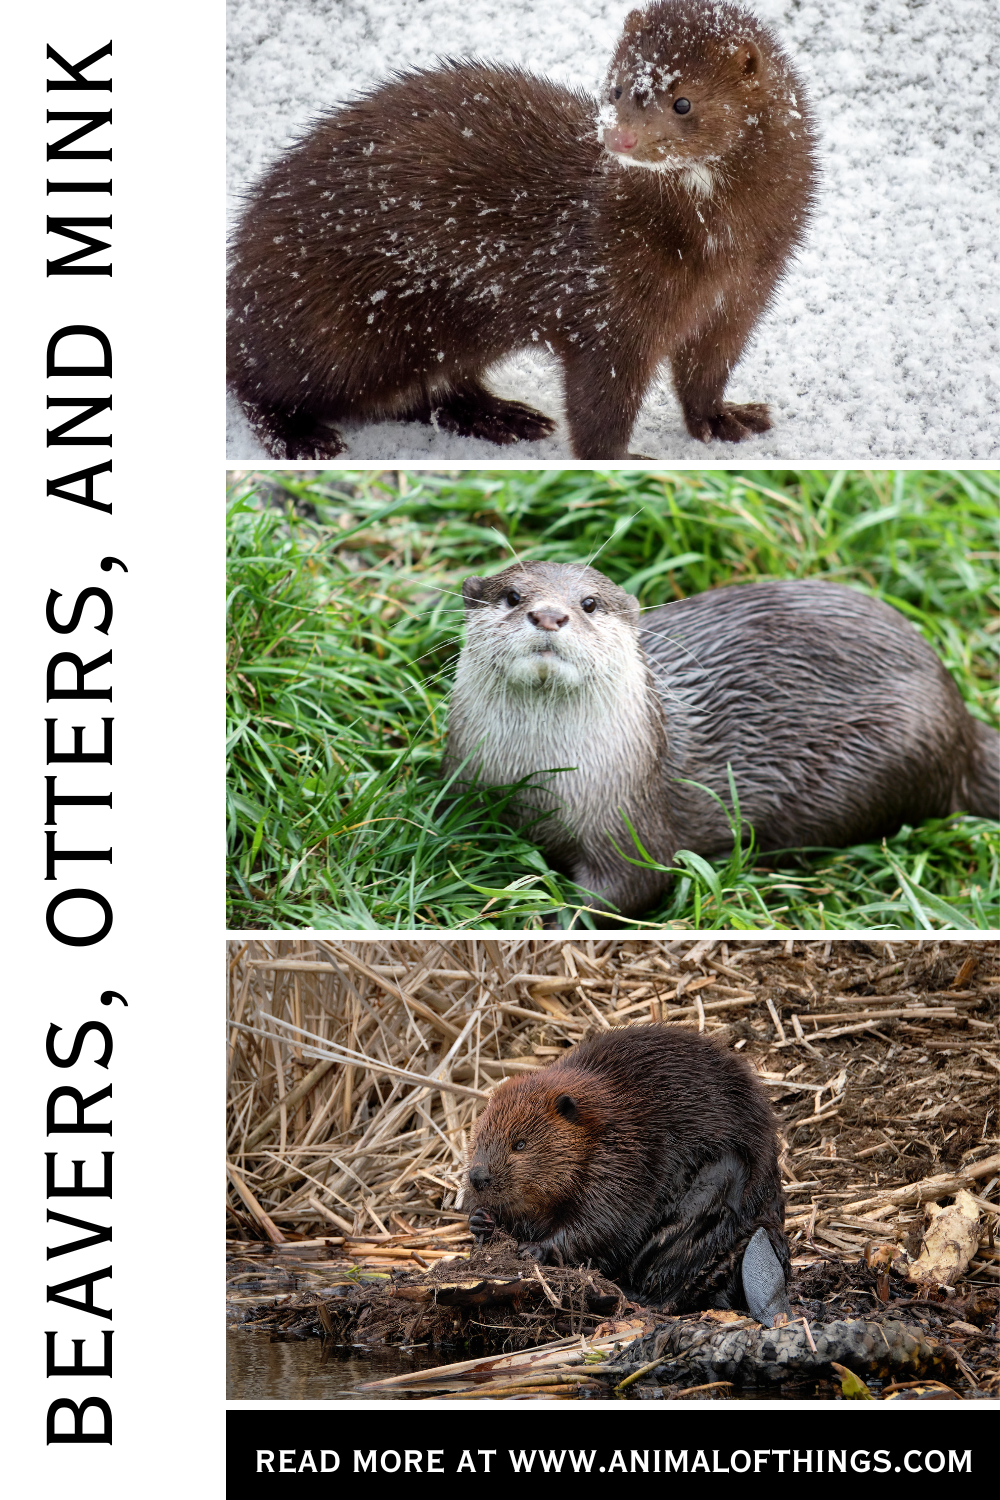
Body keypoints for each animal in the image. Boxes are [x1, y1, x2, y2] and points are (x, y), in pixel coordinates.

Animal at [227, 0, 815, 460]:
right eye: (617, 87)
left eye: (684, 101)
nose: (619, 138)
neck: (720, 248)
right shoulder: (609, 301)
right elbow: (600, 398)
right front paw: (621, 459)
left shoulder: (745, 294)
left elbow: (707, 370)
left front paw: (726, 418)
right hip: (328, 327)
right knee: (254, 378)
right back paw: (300, 436)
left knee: (430, 392)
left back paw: (504, 416)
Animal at [443, 560, 1000, 918]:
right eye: (512, 596)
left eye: (589, 604)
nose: (549, 615)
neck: (538, 780)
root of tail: (963, 724)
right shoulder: (462, 785)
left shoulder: (631, 822)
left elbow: (627, 893)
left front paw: (534, 912)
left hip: (891, 752)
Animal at [466, 1025, 791, 1325]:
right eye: (479, 1138)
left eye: (520, 1143)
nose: (478, 1177)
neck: (599, 1121)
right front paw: (480, 1220)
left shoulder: (624, 1155)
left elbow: (605, 1221)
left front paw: (534, 1249)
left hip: (719, 1181)